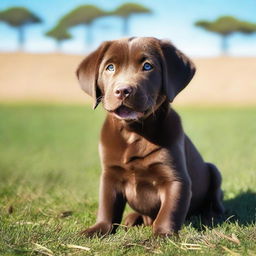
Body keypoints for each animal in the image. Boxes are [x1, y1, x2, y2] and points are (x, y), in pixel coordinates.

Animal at [76, 37, 224, 237]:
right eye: (110, 67)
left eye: (147, 66)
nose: (123, 90)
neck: (134, 132)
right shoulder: (110, 176)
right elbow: (106, 208)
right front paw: (97, 229)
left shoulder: (176, 179)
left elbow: (169, 211)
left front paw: (162, 234)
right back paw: (132, 218)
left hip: (214, 171)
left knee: (215, 202)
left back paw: (210, 216)